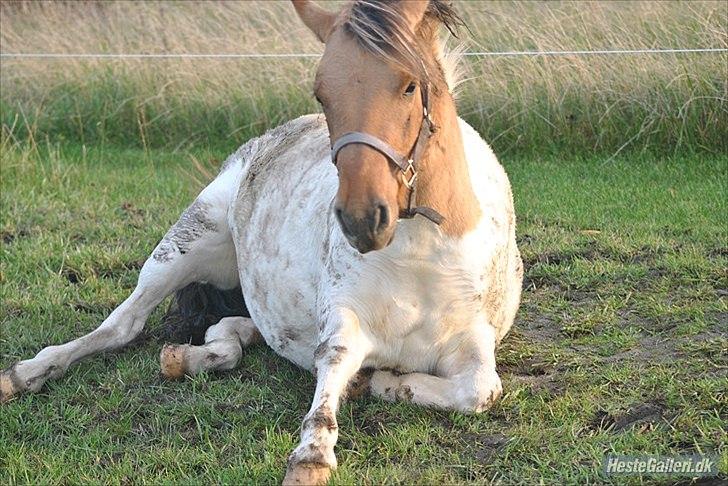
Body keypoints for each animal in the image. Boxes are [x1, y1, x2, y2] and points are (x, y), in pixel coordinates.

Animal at [0, 1, 524, 484]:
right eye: (323, 92)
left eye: (410, 85)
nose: (361, 219)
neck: (419, 253)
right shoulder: (344, 321)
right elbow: (333, 367)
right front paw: (315, 453)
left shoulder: (473, 344)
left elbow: (480, 390)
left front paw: (382, 383)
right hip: (183, 246)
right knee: (121, 326)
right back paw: (26, 374)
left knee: (231, 332)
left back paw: (191, 355)